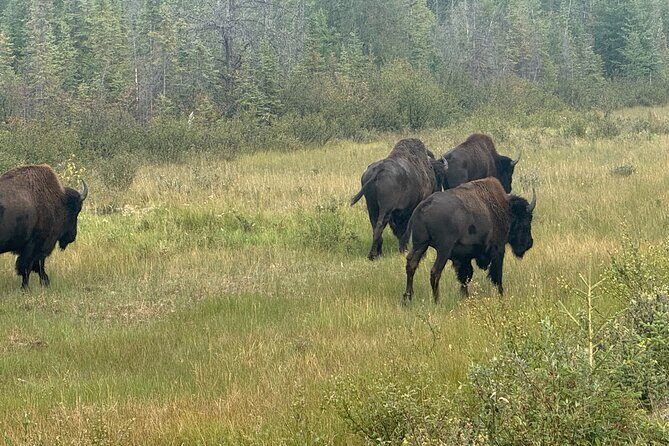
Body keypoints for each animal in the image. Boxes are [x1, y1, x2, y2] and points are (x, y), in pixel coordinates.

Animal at [402, 177, 536, 303]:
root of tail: (422, 206)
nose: (529, 243)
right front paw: (501, 293)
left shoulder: (463, 257)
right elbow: (496, 274)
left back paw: (407, 298)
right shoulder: (498, 249)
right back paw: (437, 300)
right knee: (435, 271)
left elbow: (465, 276)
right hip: (443, 250)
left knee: (411, 265)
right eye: (526, 221)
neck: (505, 209)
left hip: (420, 245)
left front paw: (465, 295)